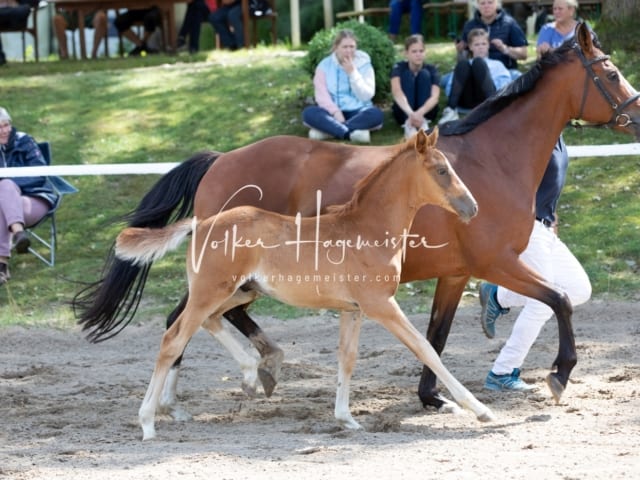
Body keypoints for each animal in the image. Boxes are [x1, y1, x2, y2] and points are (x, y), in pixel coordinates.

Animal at [72, 24, 640, 418]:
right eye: (611, 73)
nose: (636, 114)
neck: (491, 159)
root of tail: (219, 160)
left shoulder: (456, 273)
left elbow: (434, 337)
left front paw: (433, 397)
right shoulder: (495, 261)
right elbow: (560, 300)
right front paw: (559, 375)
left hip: (235, 278)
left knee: (193, 319)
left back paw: (202, 391)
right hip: (232, 276)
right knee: (190, 320)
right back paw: (234, 378)